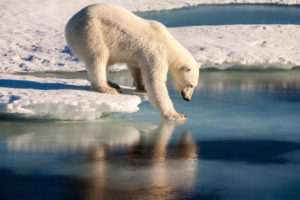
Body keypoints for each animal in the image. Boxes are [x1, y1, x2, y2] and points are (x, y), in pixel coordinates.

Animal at [65, 3, 199, 120]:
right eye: (191, 85)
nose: (188, 98)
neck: (168, 44)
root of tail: (68, 25)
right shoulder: (156, 53)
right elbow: (155, 82)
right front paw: (176, 115)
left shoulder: (140, 55)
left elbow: (136, 67)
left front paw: (141, 87)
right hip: (91, 32)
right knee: (98, 58)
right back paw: (108, 88)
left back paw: (112, 84)